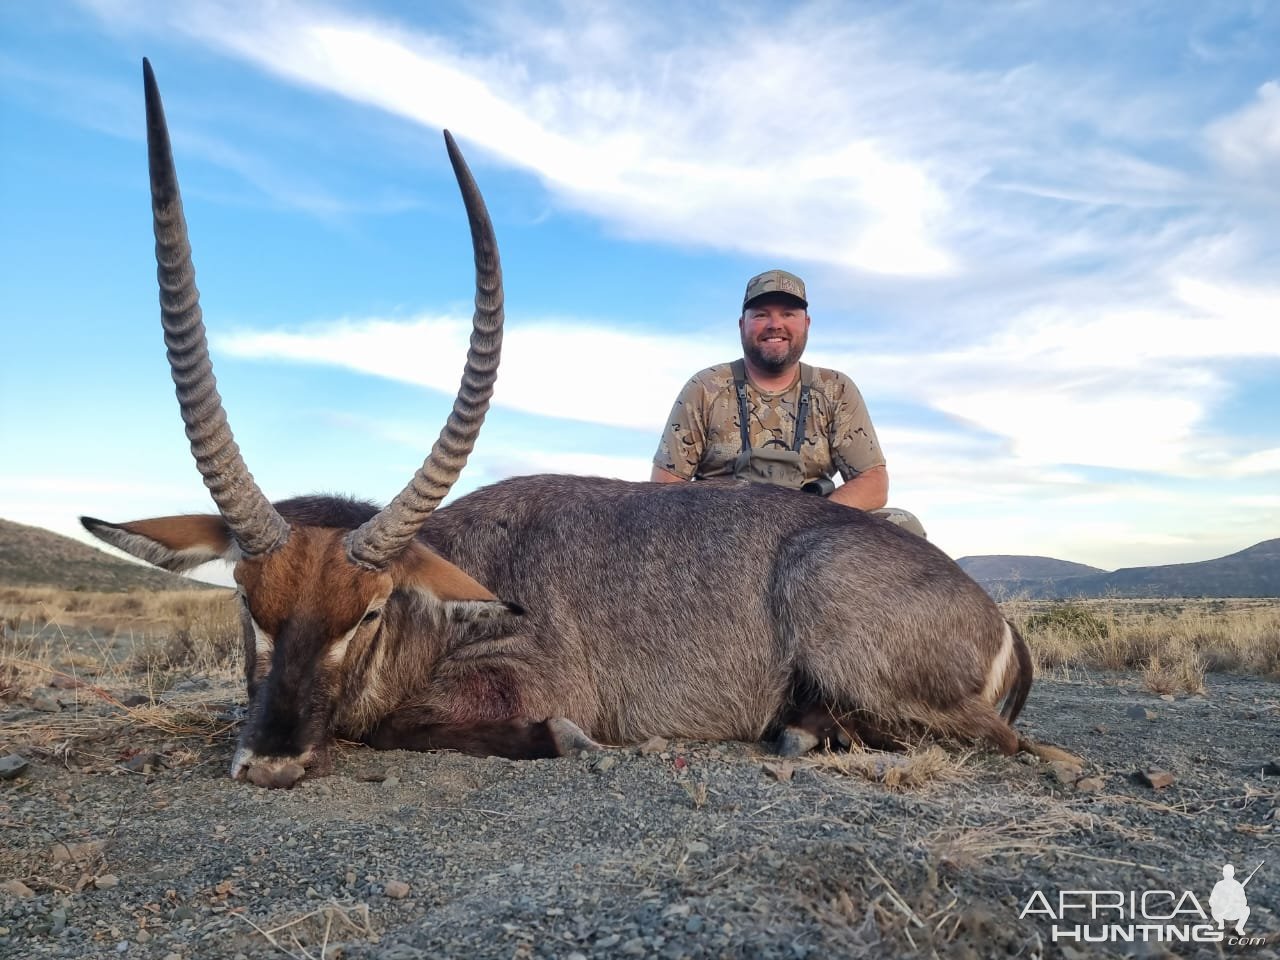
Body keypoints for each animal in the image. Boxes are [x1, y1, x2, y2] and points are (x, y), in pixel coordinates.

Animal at [85, 64, 1034, 793]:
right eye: (246, 599)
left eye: (370, 610)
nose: (274, 763)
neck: (449, 597)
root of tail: (995, 616)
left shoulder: (521, 676)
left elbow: (407, 724)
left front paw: (564, 738)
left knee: (1008, 744)